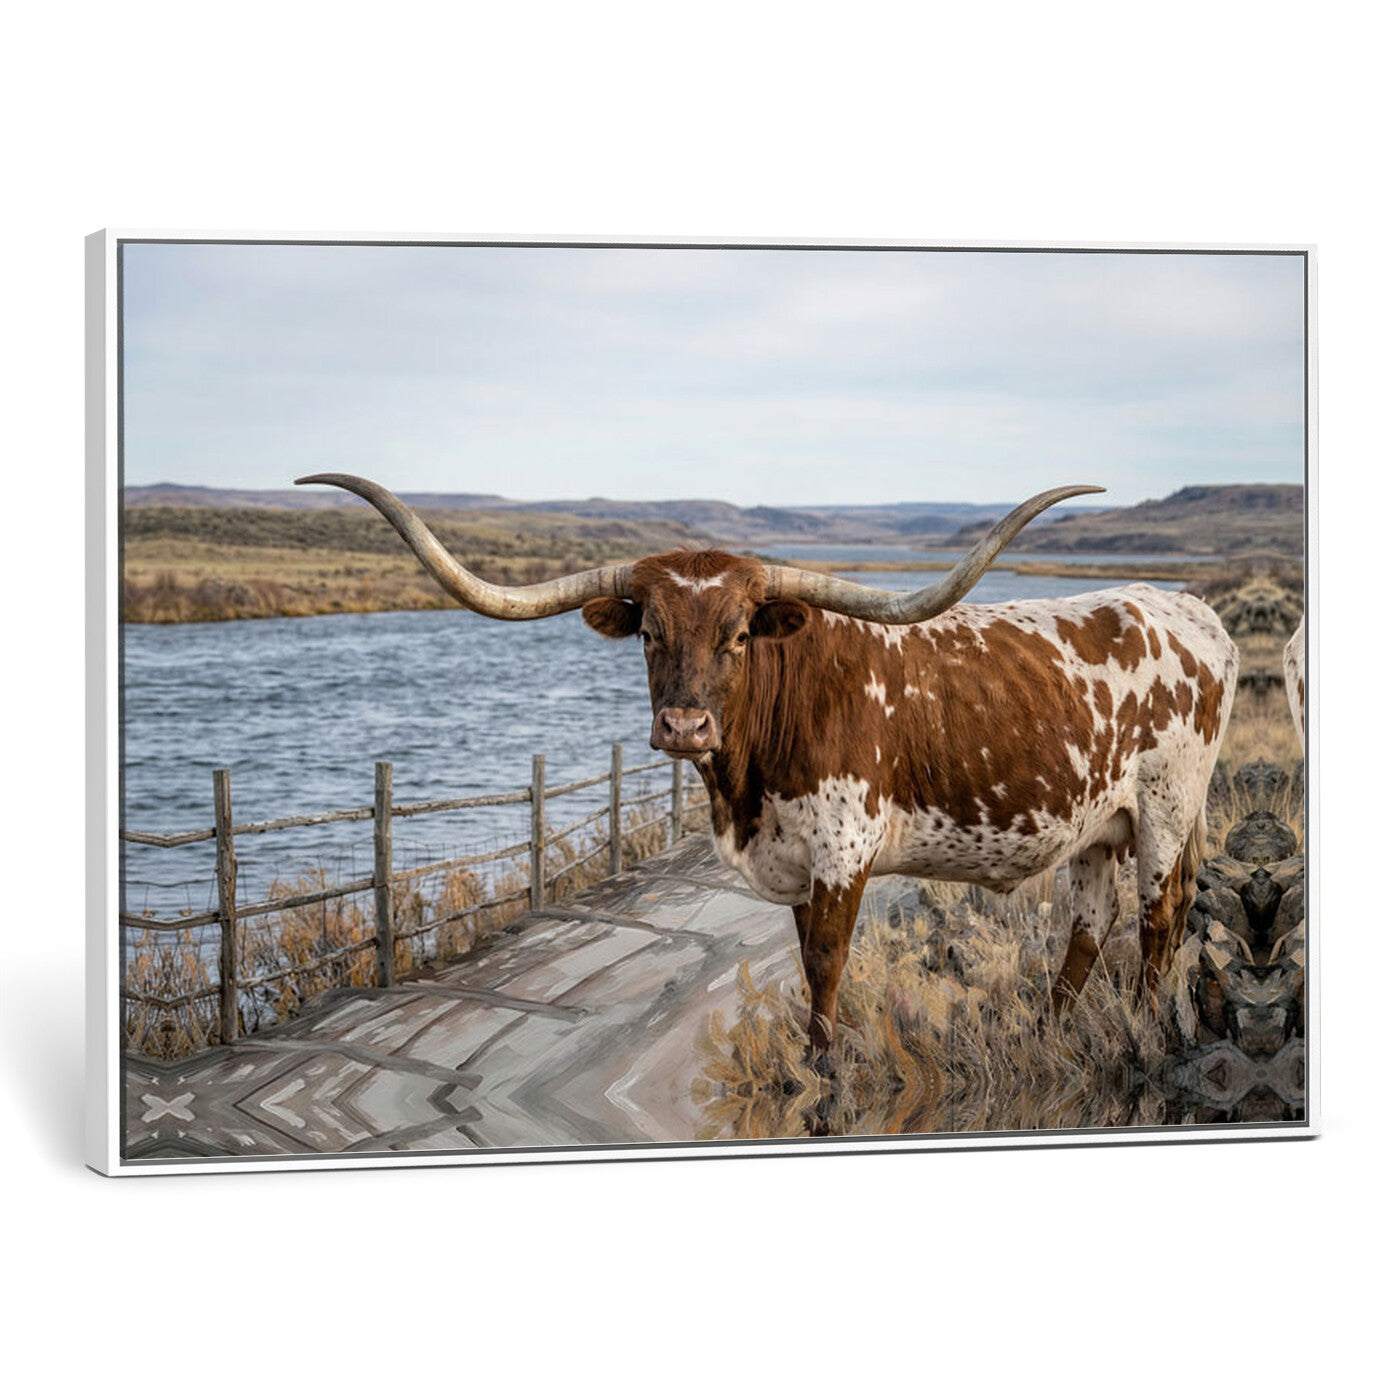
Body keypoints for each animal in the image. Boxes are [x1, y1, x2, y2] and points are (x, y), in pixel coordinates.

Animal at [298, 474, 1238, 1061]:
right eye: (648, 632)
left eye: (740, 634)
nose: (684, 725)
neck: (744, 789)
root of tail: (1187, 606)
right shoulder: (791, 864)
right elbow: (802, 965)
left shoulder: (843, 855)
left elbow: (824, 971)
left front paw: (822, 1082)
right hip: (1096, 824)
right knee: (1088, 927)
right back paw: (1048, 1033)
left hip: (1165, 812)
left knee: (1159, 920)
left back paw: (1143, 1032)